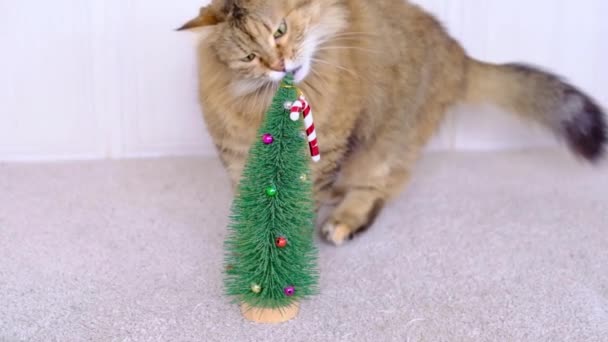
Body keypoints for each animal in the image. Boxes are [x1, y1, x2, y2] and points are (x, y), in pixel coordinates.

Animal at [178, 0, 604, 246]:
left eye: (280, 30)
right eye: (250, 57)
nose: (280, 65)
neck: (268, 103)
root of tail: (458, 53)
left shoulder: (326, 148)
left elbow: (299, 208)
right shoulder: (235, 152)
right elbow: (252, 203)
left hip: (383, 144)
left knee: (379, 187)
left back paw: (344, 221)